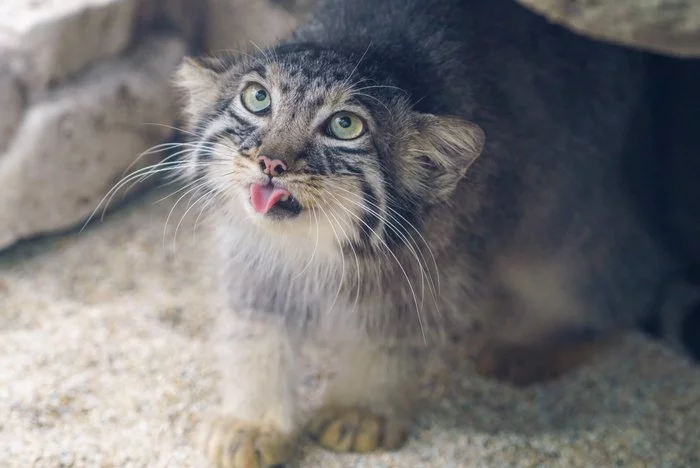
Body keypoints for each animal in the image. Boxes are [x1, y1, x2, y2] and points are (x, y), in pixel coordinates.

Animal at [171, 0, 680, 464]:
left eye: (344, 125)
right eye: (257, 99)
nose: (271, 162)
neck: (309, 248)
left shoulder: (425, 270)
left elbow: (386, 342)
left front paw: (362, 409)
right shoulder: (253, 265)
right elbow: (255, 341)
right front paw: (252, 423)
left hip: (564, 225)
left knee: (624, 281)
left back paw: (532, 343)